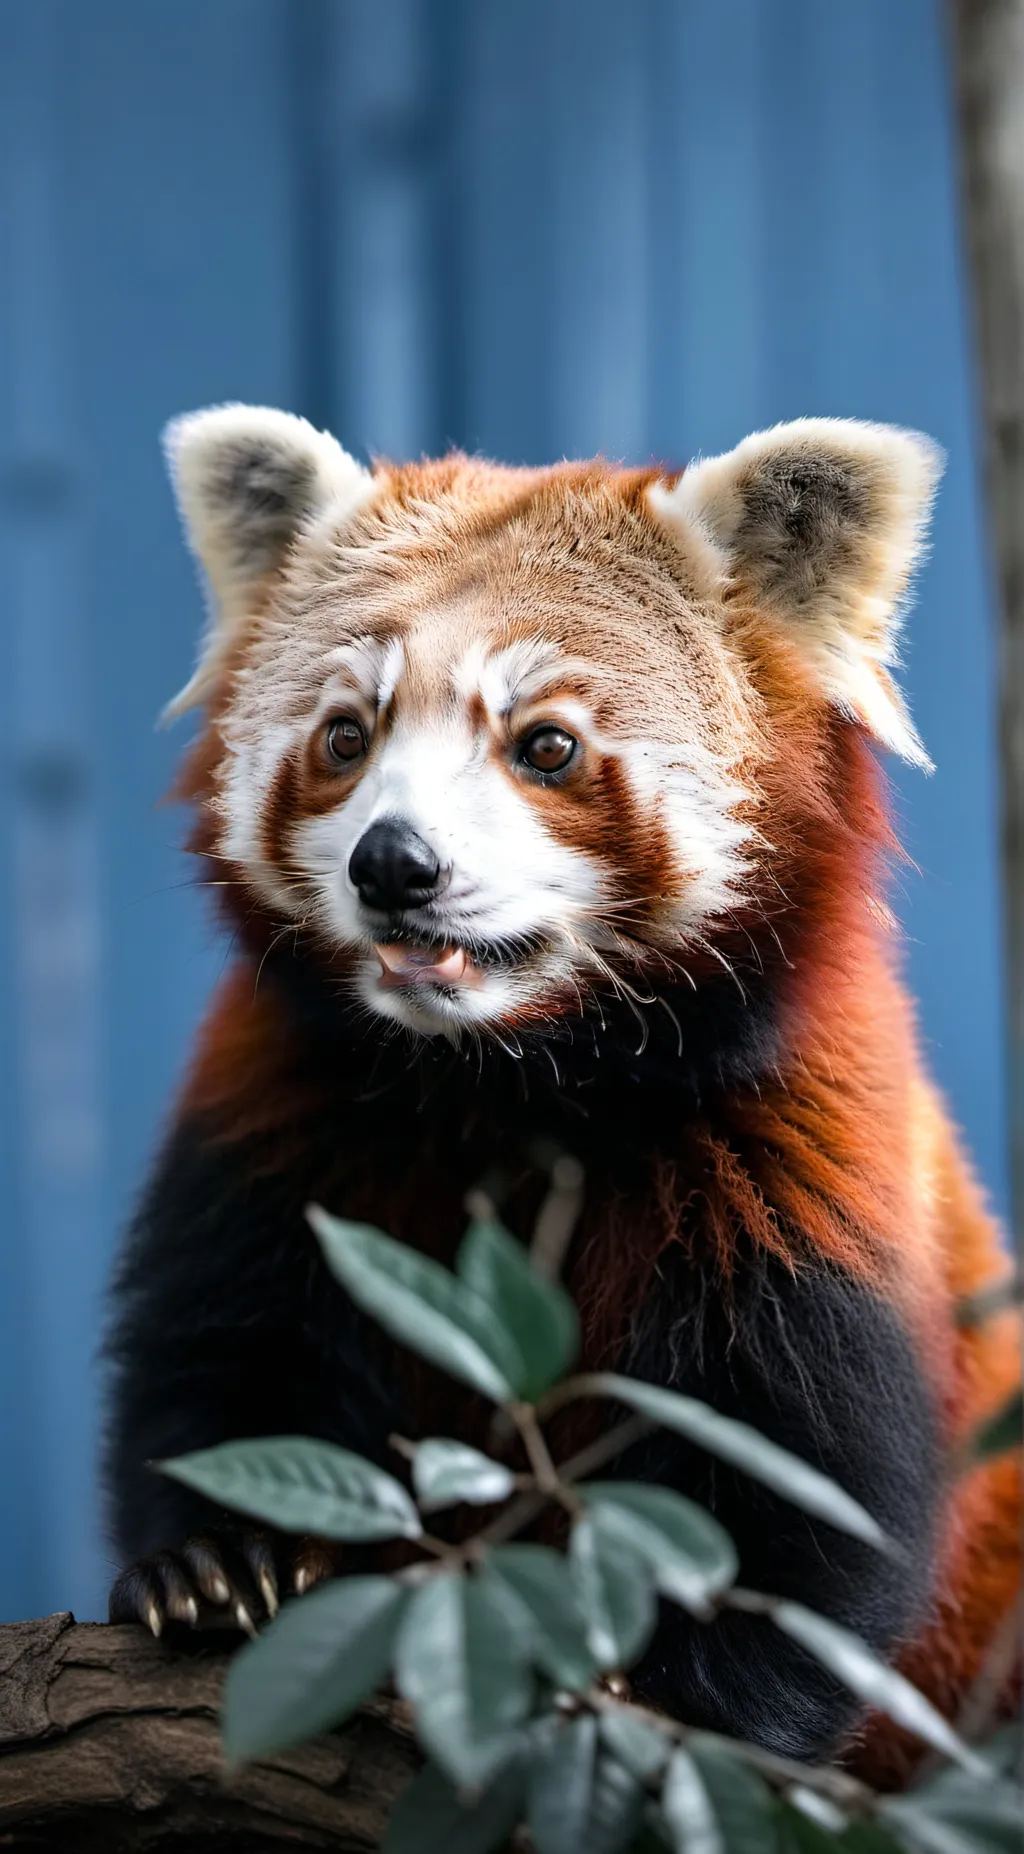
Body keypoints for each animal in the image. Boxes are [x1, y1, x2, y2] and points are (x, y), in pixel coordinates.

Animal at [106, 406, 1020, 1786]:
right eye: (346, 737)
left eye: (545, 746)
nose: (394, 866)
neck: (514, 1071)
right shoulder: (281, 1106)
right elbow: (223, 1329)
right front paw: (225, 1553)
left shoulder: (794, 1138)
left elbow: (796, 1464)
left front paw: (679, 1707)